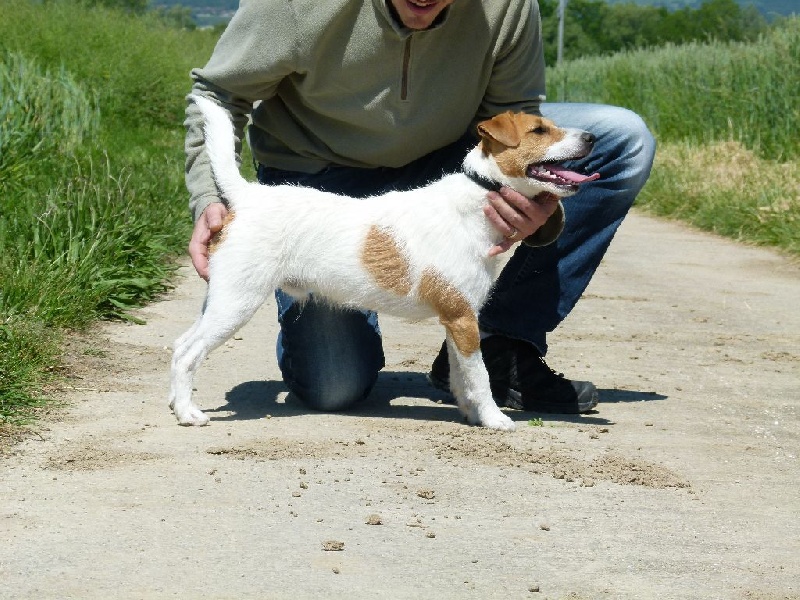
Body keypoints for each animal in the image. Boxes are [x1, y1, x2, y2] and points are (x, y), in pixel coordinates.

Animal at [169, 95, 596, 432]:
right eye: (539, 130)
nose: (591, 138)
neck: (477, 198)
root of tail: (247, 197)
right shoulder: (462, 319)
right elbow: (479, 375)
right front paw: (494, 419)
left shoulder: (457, 319)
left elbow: (462, 375)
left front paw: (472, 414)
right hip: (236, 302)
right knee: (190, 353)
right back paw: (190, 413)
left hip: (222, 300)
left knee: (180, 346)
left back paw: (177, 404)